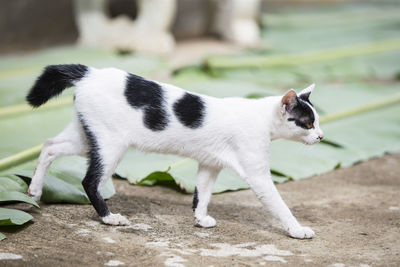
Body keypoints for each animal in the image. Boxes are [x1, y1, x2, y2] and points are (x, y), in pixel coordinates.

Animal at [26, 64, 324, 241]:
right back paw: (109, 218)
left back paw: (34, 191)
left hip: (86, 137)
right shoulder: (258, 174)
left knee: (49, 146)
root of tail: (90, 72)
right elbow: (279, 204)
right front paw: (297, 229)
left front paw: (200, 219)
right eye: (308, 124)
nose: (321, 136)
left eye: (317, 122)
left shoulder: (209, 164)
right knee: (89, 181)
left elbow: (202, 193)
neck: (260, 117)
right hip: (110, 146)